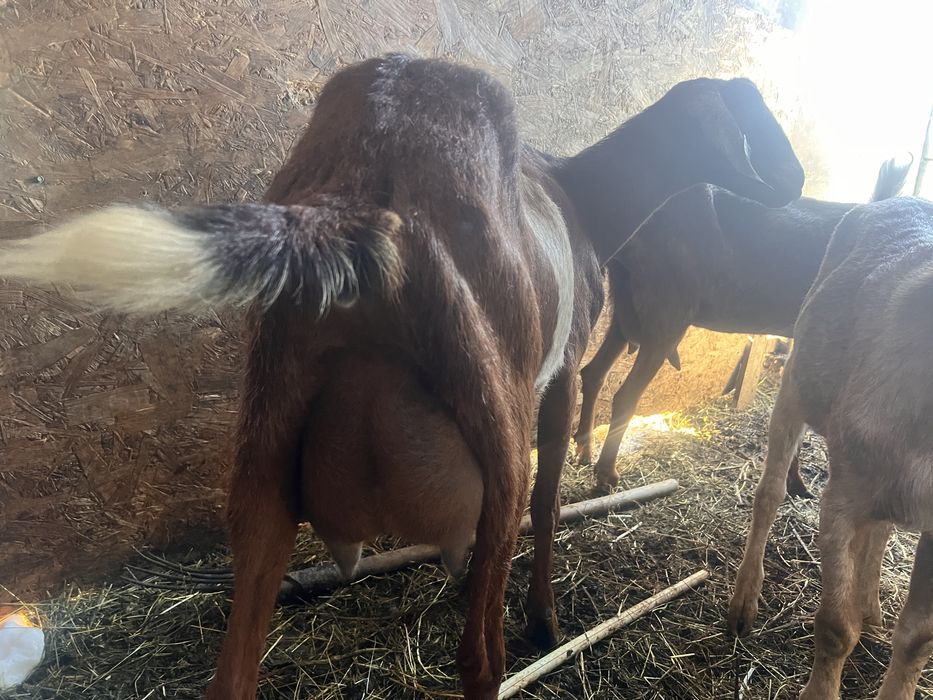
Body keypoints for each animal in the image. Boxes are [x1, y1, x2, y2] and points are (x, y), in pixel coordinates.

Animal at [0, 55, 803, 698]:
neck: (586, 200)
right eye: (749, 120)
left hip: (266, 441)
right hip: (495, 423)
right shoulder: (562, 377)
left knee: (234, 669)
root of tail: (364, 187)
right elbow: (550, 503)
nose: (797, 184)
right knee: (480, 655)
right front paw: (545, 620)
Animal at [574, 157, 911, 494]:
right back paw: (606, 473)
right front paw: (797, 482)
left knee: (594, 373)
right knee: (625, 395)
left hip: (628, 308)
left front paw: (795, 481)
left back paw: (584, 450)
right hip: (667, 311)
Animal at [727, 196, 933, 699]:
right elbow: (836, 626)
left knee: (880, 529)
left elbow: (917, 640)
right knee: (769, 494)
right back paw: (744, 603)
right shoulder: (841, 499)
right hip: (794, 382)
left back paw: (871, 606)